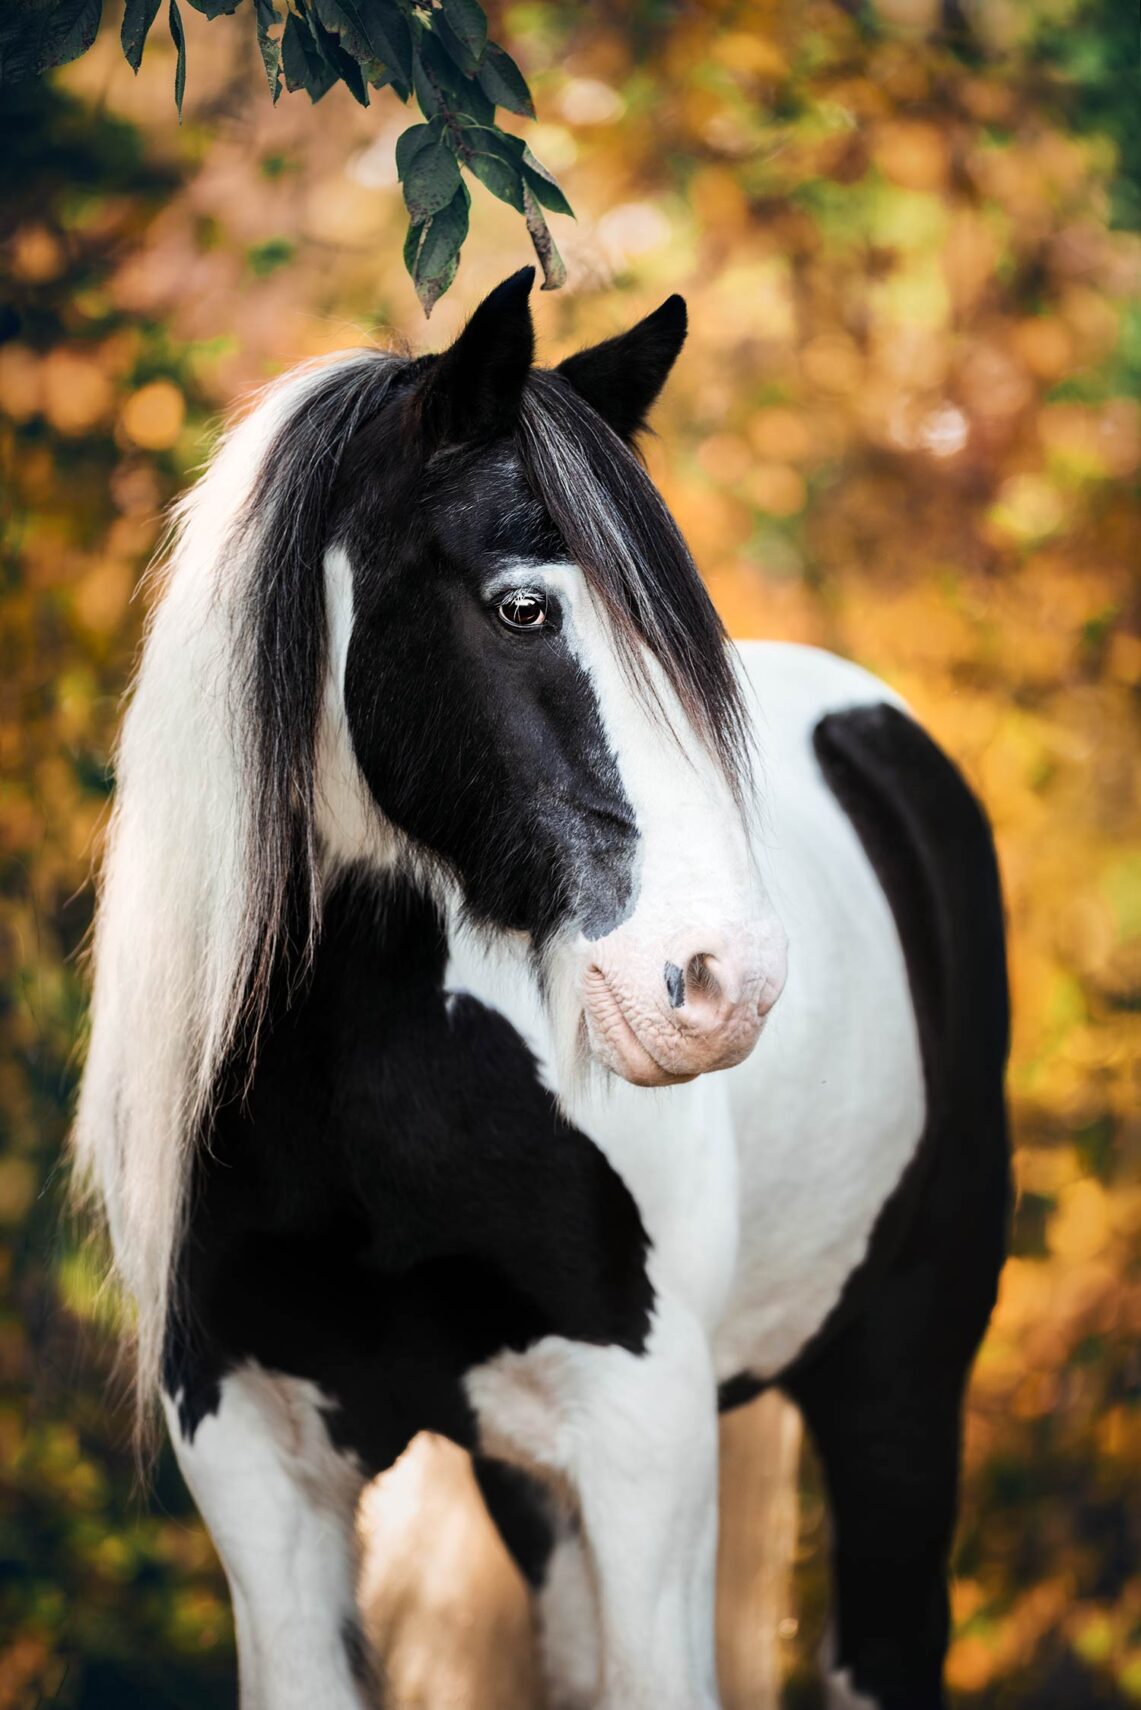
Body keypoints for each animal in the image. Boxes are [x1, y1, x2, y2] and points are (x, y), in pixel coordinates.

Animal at [74, 267, 1010, 1710]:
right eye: (522, 607)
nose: (724, 983)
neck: (362, 1106)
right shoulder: (250, 1456)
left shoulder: (644, 1444)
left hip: (895, 1377)